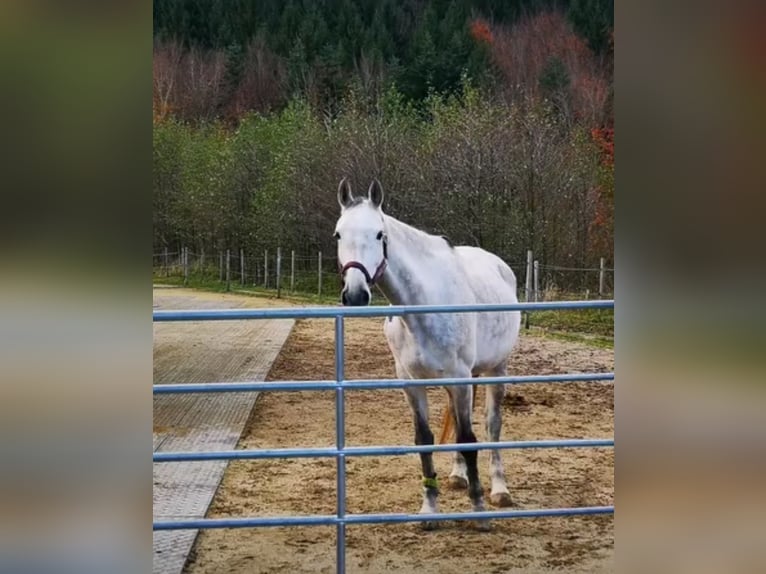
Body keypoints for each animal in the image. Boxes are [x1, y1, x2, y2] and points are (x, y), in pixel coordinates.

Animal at [334, 179, 520, 532]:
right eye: (338, 234)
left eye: (379, 234)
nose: (355, 295)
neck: (424, 303)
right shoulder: (411, 382)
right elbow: (425, 439)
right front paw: (429, 509)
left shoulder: (459, 378)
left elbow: (469, 438)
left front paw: (479, 511)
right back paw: (459, 476)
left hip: (495, 369)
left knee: (492, 425)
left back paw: (500, 490)